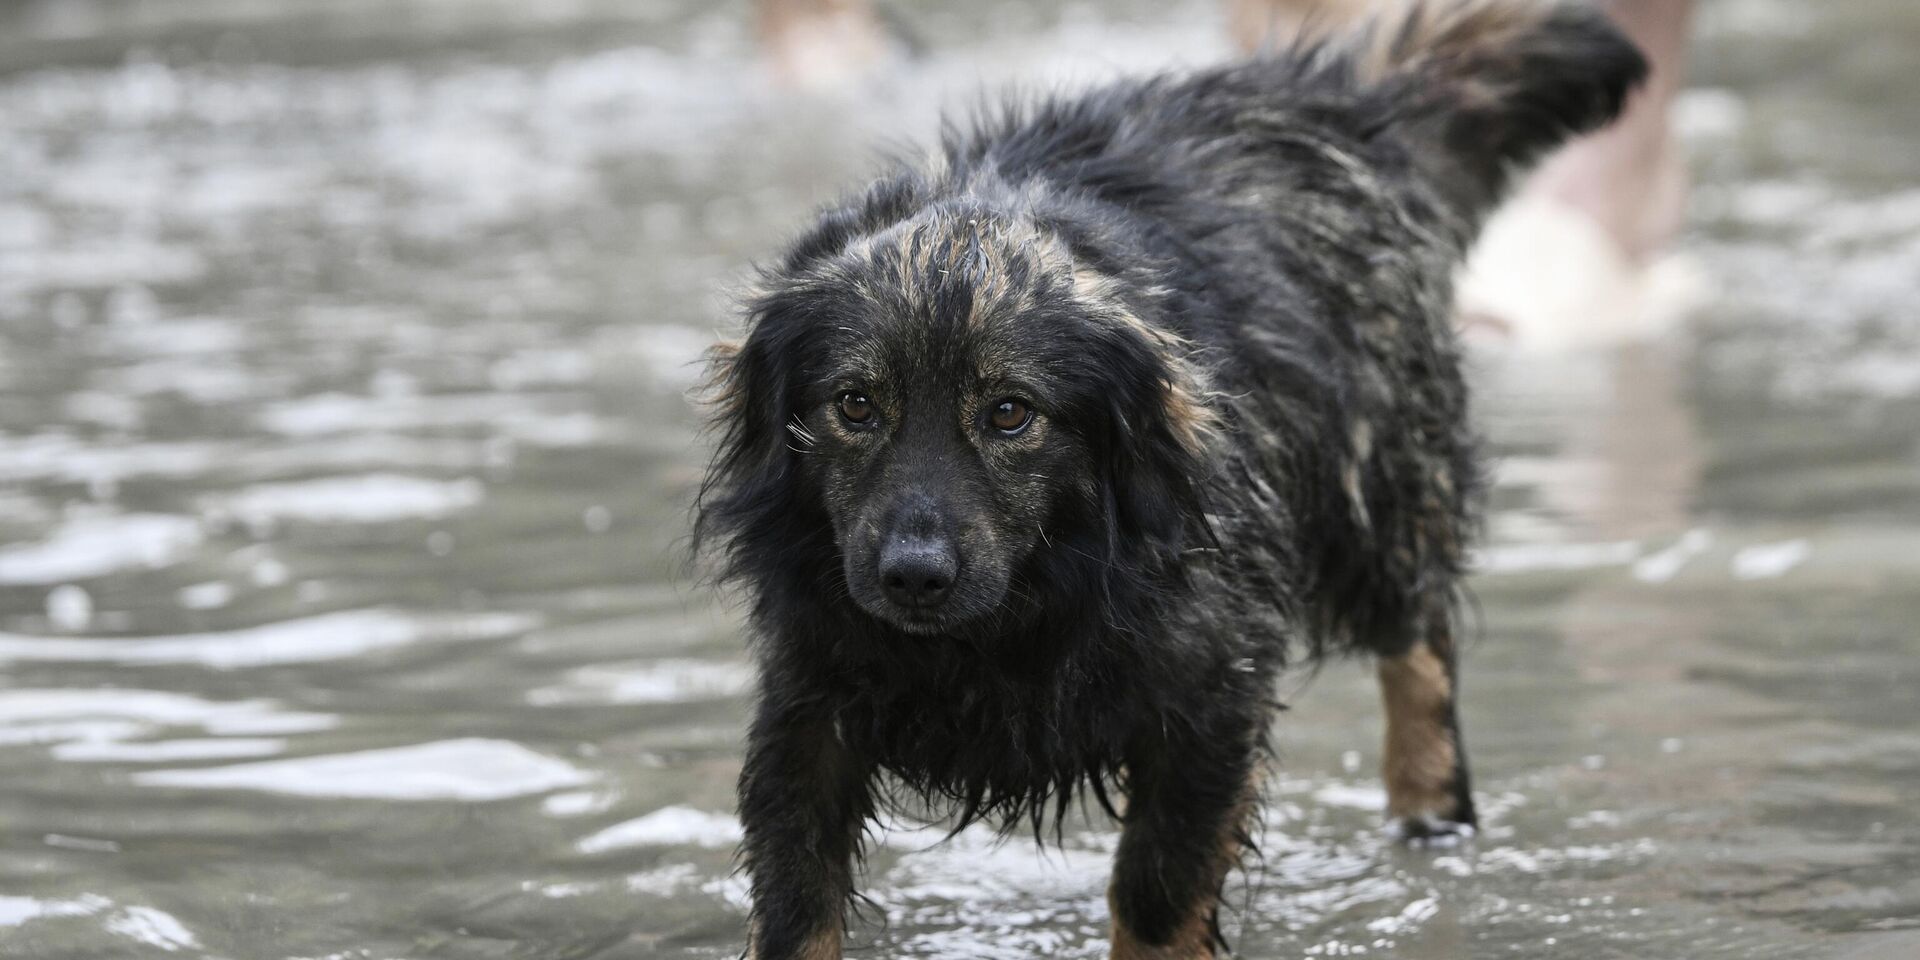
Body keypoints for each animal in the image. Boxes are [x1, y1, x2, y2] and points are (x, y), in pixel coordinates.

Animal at [698, 3, 1643, 956]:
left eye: (1010, 413)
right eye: (855, 405)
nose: (914, 577)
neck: (1007, 623)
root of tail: (1339, 104)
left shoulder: (1210, 699)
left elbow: (1155, 893)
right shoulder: (807, 705)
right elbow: (797, 906)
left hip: (1376, 502)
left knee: (1421, 648)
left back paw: (1432, 811)